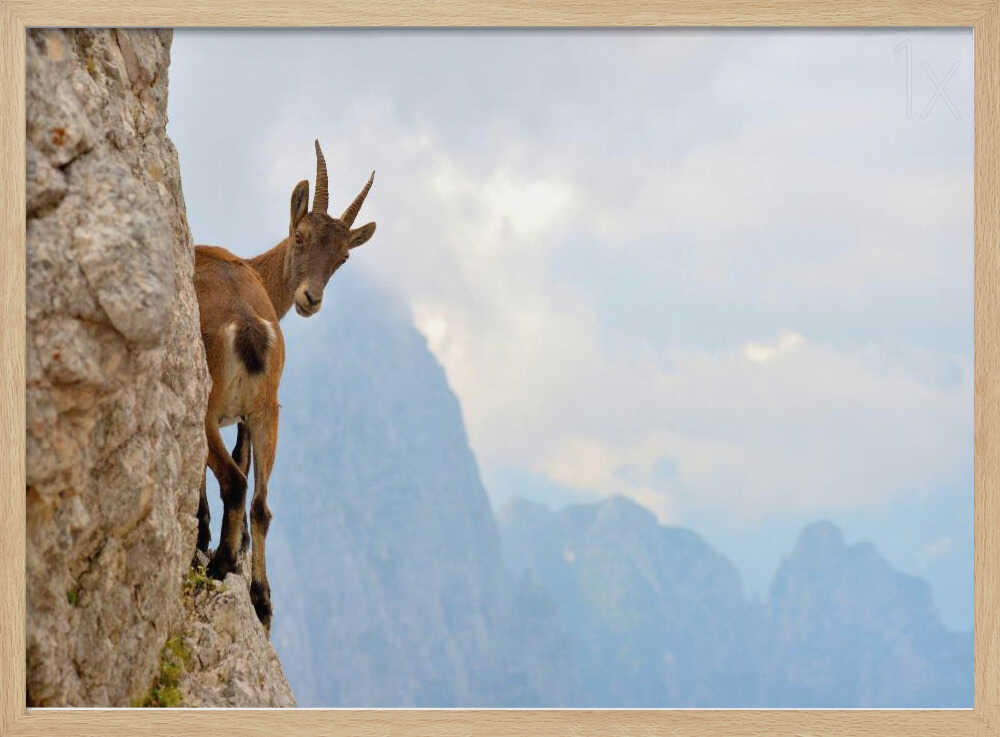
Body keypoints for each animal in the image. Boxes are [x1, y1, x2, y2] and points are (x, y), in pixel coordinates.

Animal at [193, 140, 376, 631]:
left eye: (343, 257)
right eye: (301, 237)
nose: (311, 298)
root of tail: (248, 326)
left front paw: (206, 537)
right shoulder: (246, 415)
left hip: (208, 408)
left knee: (235, 482)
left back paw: (219, 566)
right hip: (269, 411)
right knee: (262, 503)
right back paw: (261, 600)